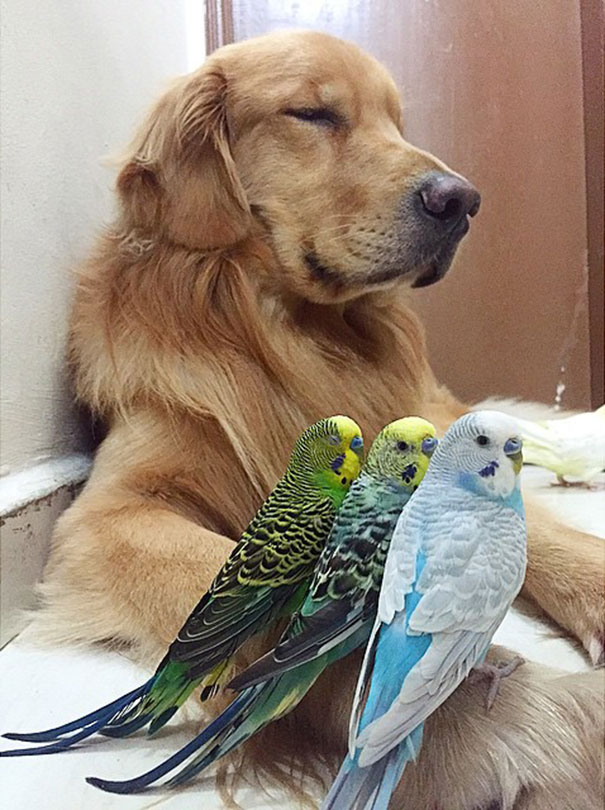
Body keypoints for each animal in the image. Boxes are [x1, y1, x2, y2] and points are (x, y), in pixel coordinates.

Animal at [35, 31, 600, 808]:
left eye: (398, 123)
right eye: (311, 113)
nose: (462, 200)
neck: (297, 339)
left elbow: (525, 533)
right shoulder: (108, 513)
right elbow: (255, 596)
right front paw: (511, 728)